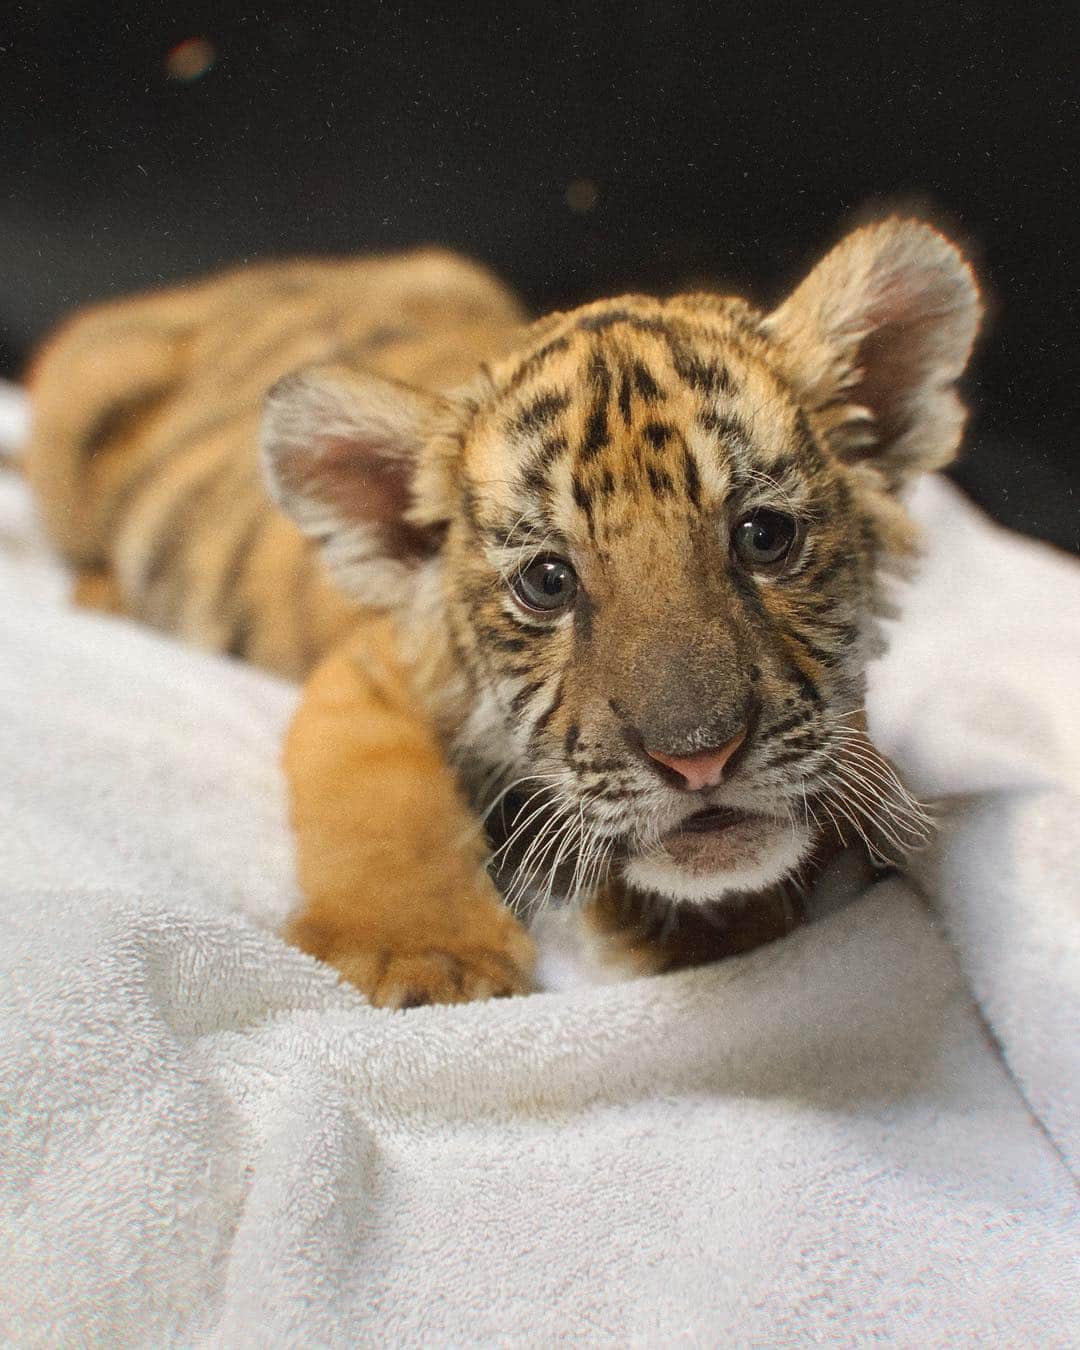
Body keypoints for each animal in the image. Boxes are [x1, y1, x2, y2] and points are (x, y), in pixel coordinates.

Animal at [25, 219, 981, 1007]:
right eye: (548, 582)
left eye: (765, 536)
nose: (700, 760)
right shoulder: (368, 676)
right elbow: (384, 805)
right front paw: (420, 958)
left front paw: (708, 925)